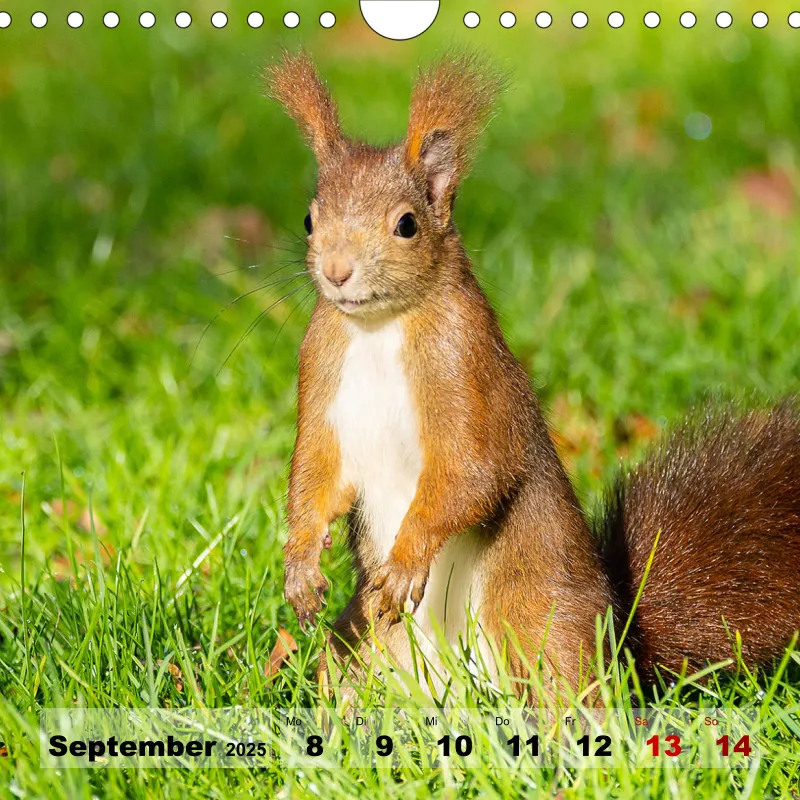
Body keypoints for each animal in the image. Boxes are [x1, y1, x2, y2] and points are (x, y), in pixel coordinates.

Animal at [265, 50, 800, 697]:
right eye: (308, 219)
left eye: (407, 224)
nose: (337, 272)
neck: (378, 328)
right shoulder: (321, 368)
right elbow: (317, 472)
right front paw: (300, 565)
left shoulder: (465, 363)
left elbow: (472, 470)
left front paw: (405, 561)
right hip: (362, 644)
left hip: (541, 618)